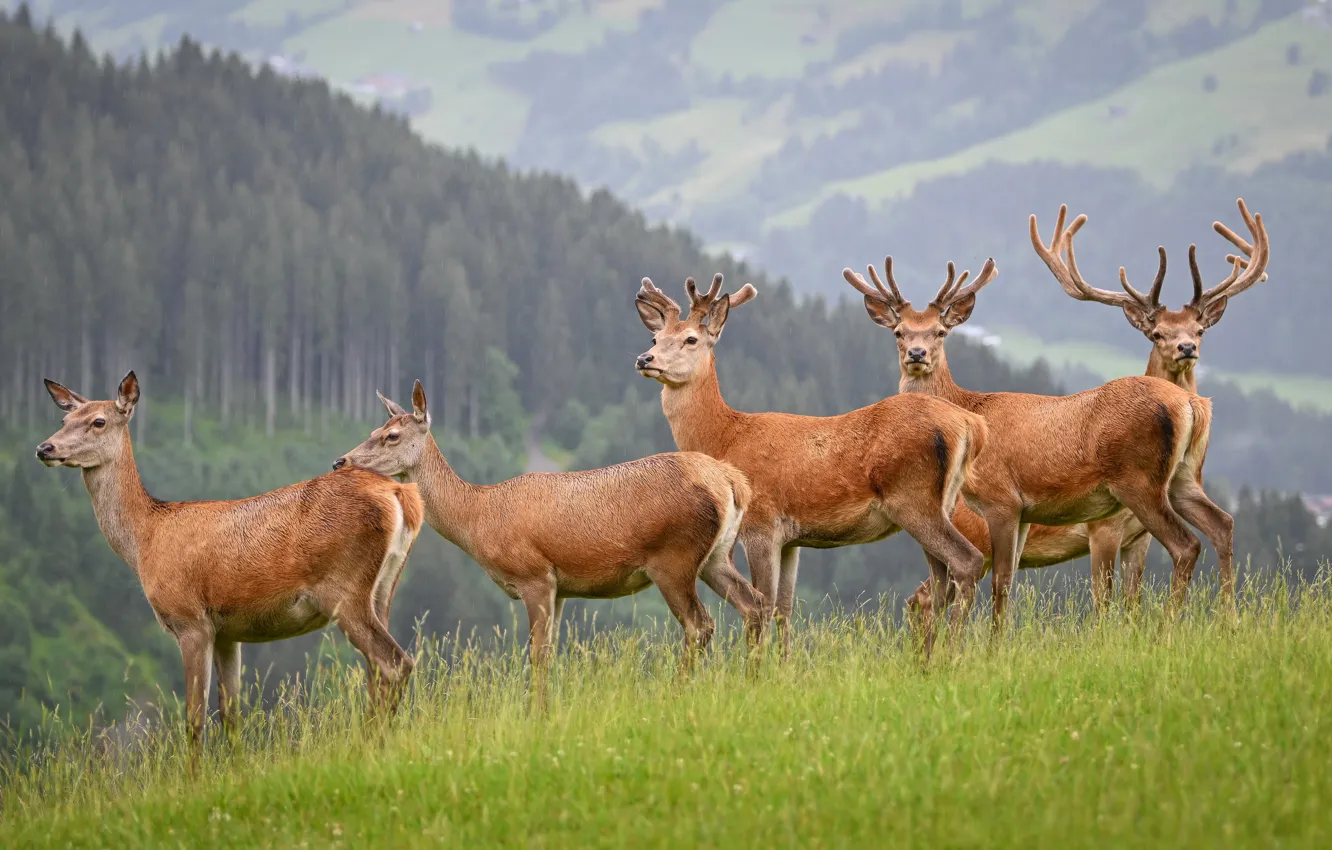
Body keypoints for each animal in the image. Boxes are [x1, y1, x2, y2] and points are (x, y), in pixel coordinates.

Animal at [35, 372, 425, 753]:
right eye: (64, 419)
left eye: (98, 421)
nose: (44, 448)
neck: (146, 538)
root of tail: (399, 494)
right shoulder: (228, 632)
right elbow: (231, 716)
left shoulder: (190, 620)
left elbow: (194, 721)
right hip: (383, 589)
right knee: (378, 668)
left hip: (343, 588)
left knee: (394, 663)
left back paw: (372, 747)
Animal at [334, 380, 766, 690]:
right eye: (374, 427)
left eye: (391, 435)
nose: (341, 460)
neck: (479, 518)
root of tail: (731, 482)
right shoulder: (560, 588)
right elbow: (551, 654)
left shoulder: (534, 575)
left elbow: (538, 656)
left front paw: (535, 716)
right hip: (715, 556)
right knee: (755, 604)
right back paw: (753, 680)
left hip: (673, 559)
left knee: (700, 624)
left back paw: (677, 692)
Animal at [633, 274, 990, 660]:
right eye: (655, 338)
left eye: (691, 339)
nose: (644, 358)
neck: (725, 440)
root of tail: (970, 424)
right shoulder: (792, 539)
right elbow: (784, 607)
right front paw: (784, 665)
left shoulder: (762, 524)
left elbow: (764, 602)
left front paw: (758, 666)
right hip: (942, 502)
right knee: (940, 580)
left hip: (913, 498)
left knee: (966, 561)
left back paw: (951, 653)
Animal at [842, 244, 1226, 632]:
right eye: (899, 332)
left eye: (939, 332)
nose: (916, 354)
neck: (969, 409)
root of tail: (1191, 402)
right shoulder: (1025, 512)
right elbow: (1010, 579)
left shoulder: (1002, 498)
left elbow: (1001, 581)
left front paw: (993, 644)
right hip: (1181, 478)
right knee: (1222, 524)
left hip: (1138, 479)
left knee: (1186, 544)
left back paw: (1168, 629)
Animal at [902, 200, 1267, 623]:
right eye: (1157, 333)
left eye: (1200, 330)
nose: (1187, 347)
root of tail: (1191, 403)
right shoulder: (1093, 527)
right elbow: (1110, 599)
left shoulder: (1108, 530)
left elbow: (1112, 599)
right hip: (1163, 480)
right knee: (1213, 529)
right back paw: (1207, 621)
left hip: (1150, 481)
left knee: (1201, 536)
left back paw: (1192, 624)